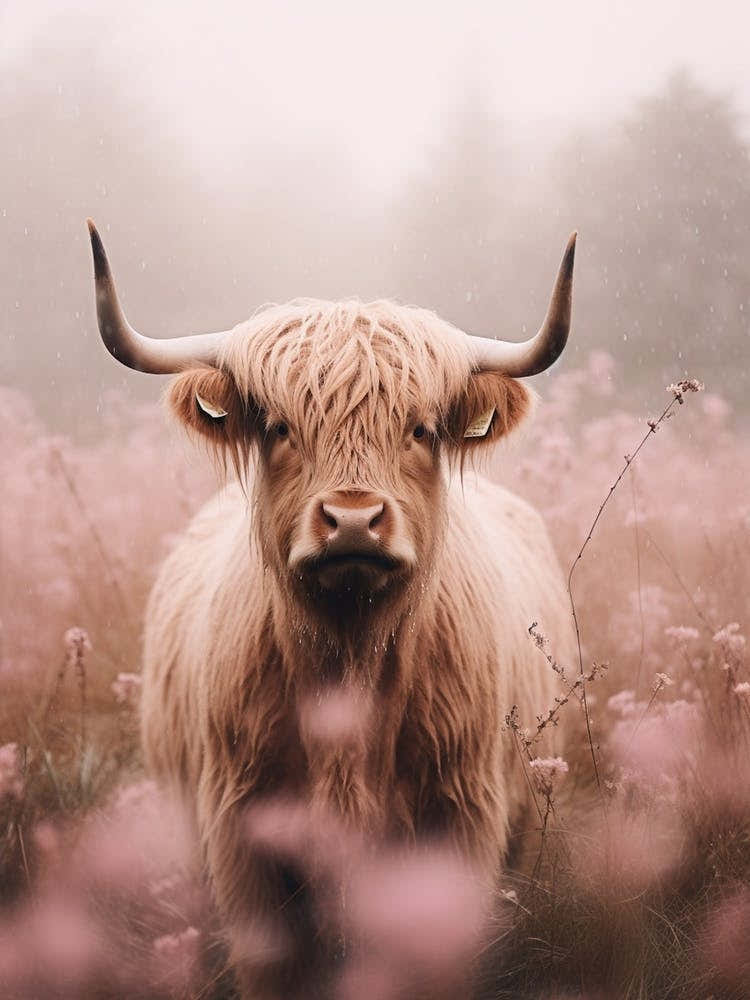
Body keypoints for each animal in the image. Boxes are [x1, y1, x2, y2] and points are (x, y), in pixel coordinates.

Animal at [86, 220, 577, 997]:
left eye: (421, 429)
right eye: (279, 427)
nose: (352, 521)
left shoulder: (462, 817)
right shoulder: (240, 832)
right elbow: (275, 965)